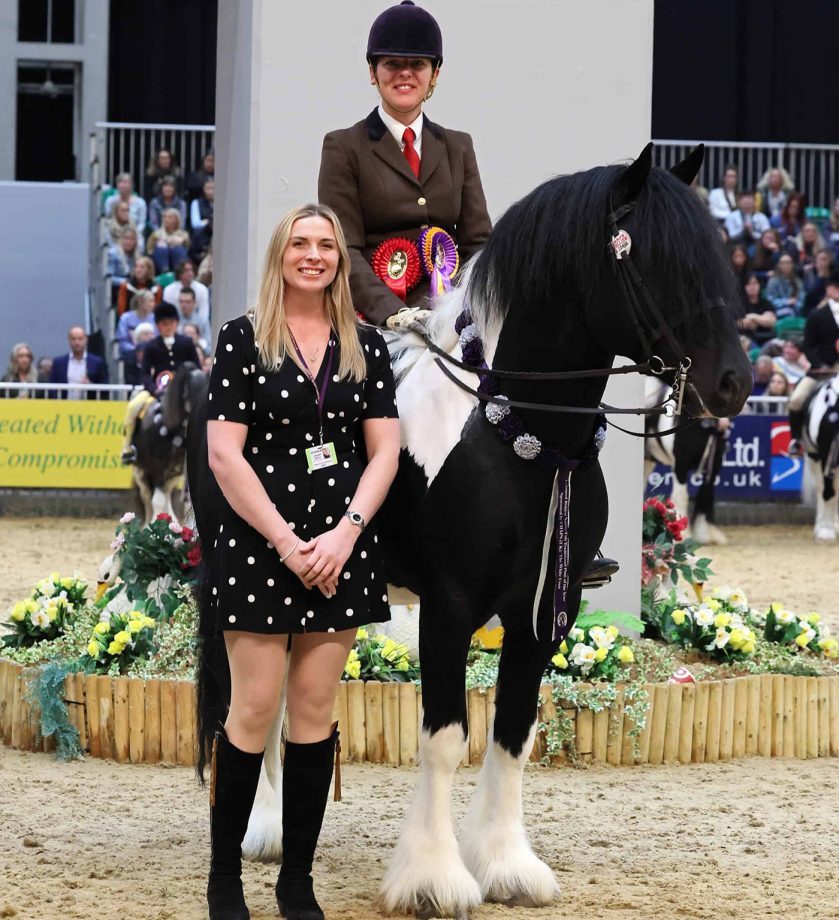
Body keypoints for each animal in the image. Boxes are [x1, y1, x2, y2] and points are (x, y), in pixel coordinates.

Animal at [648, 376, 732, 544]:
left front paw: (706, 533)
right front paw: (682, 533)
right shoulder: (680, 465)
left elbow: (706, 495)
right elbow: (682, 496)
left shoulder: (714, 466)